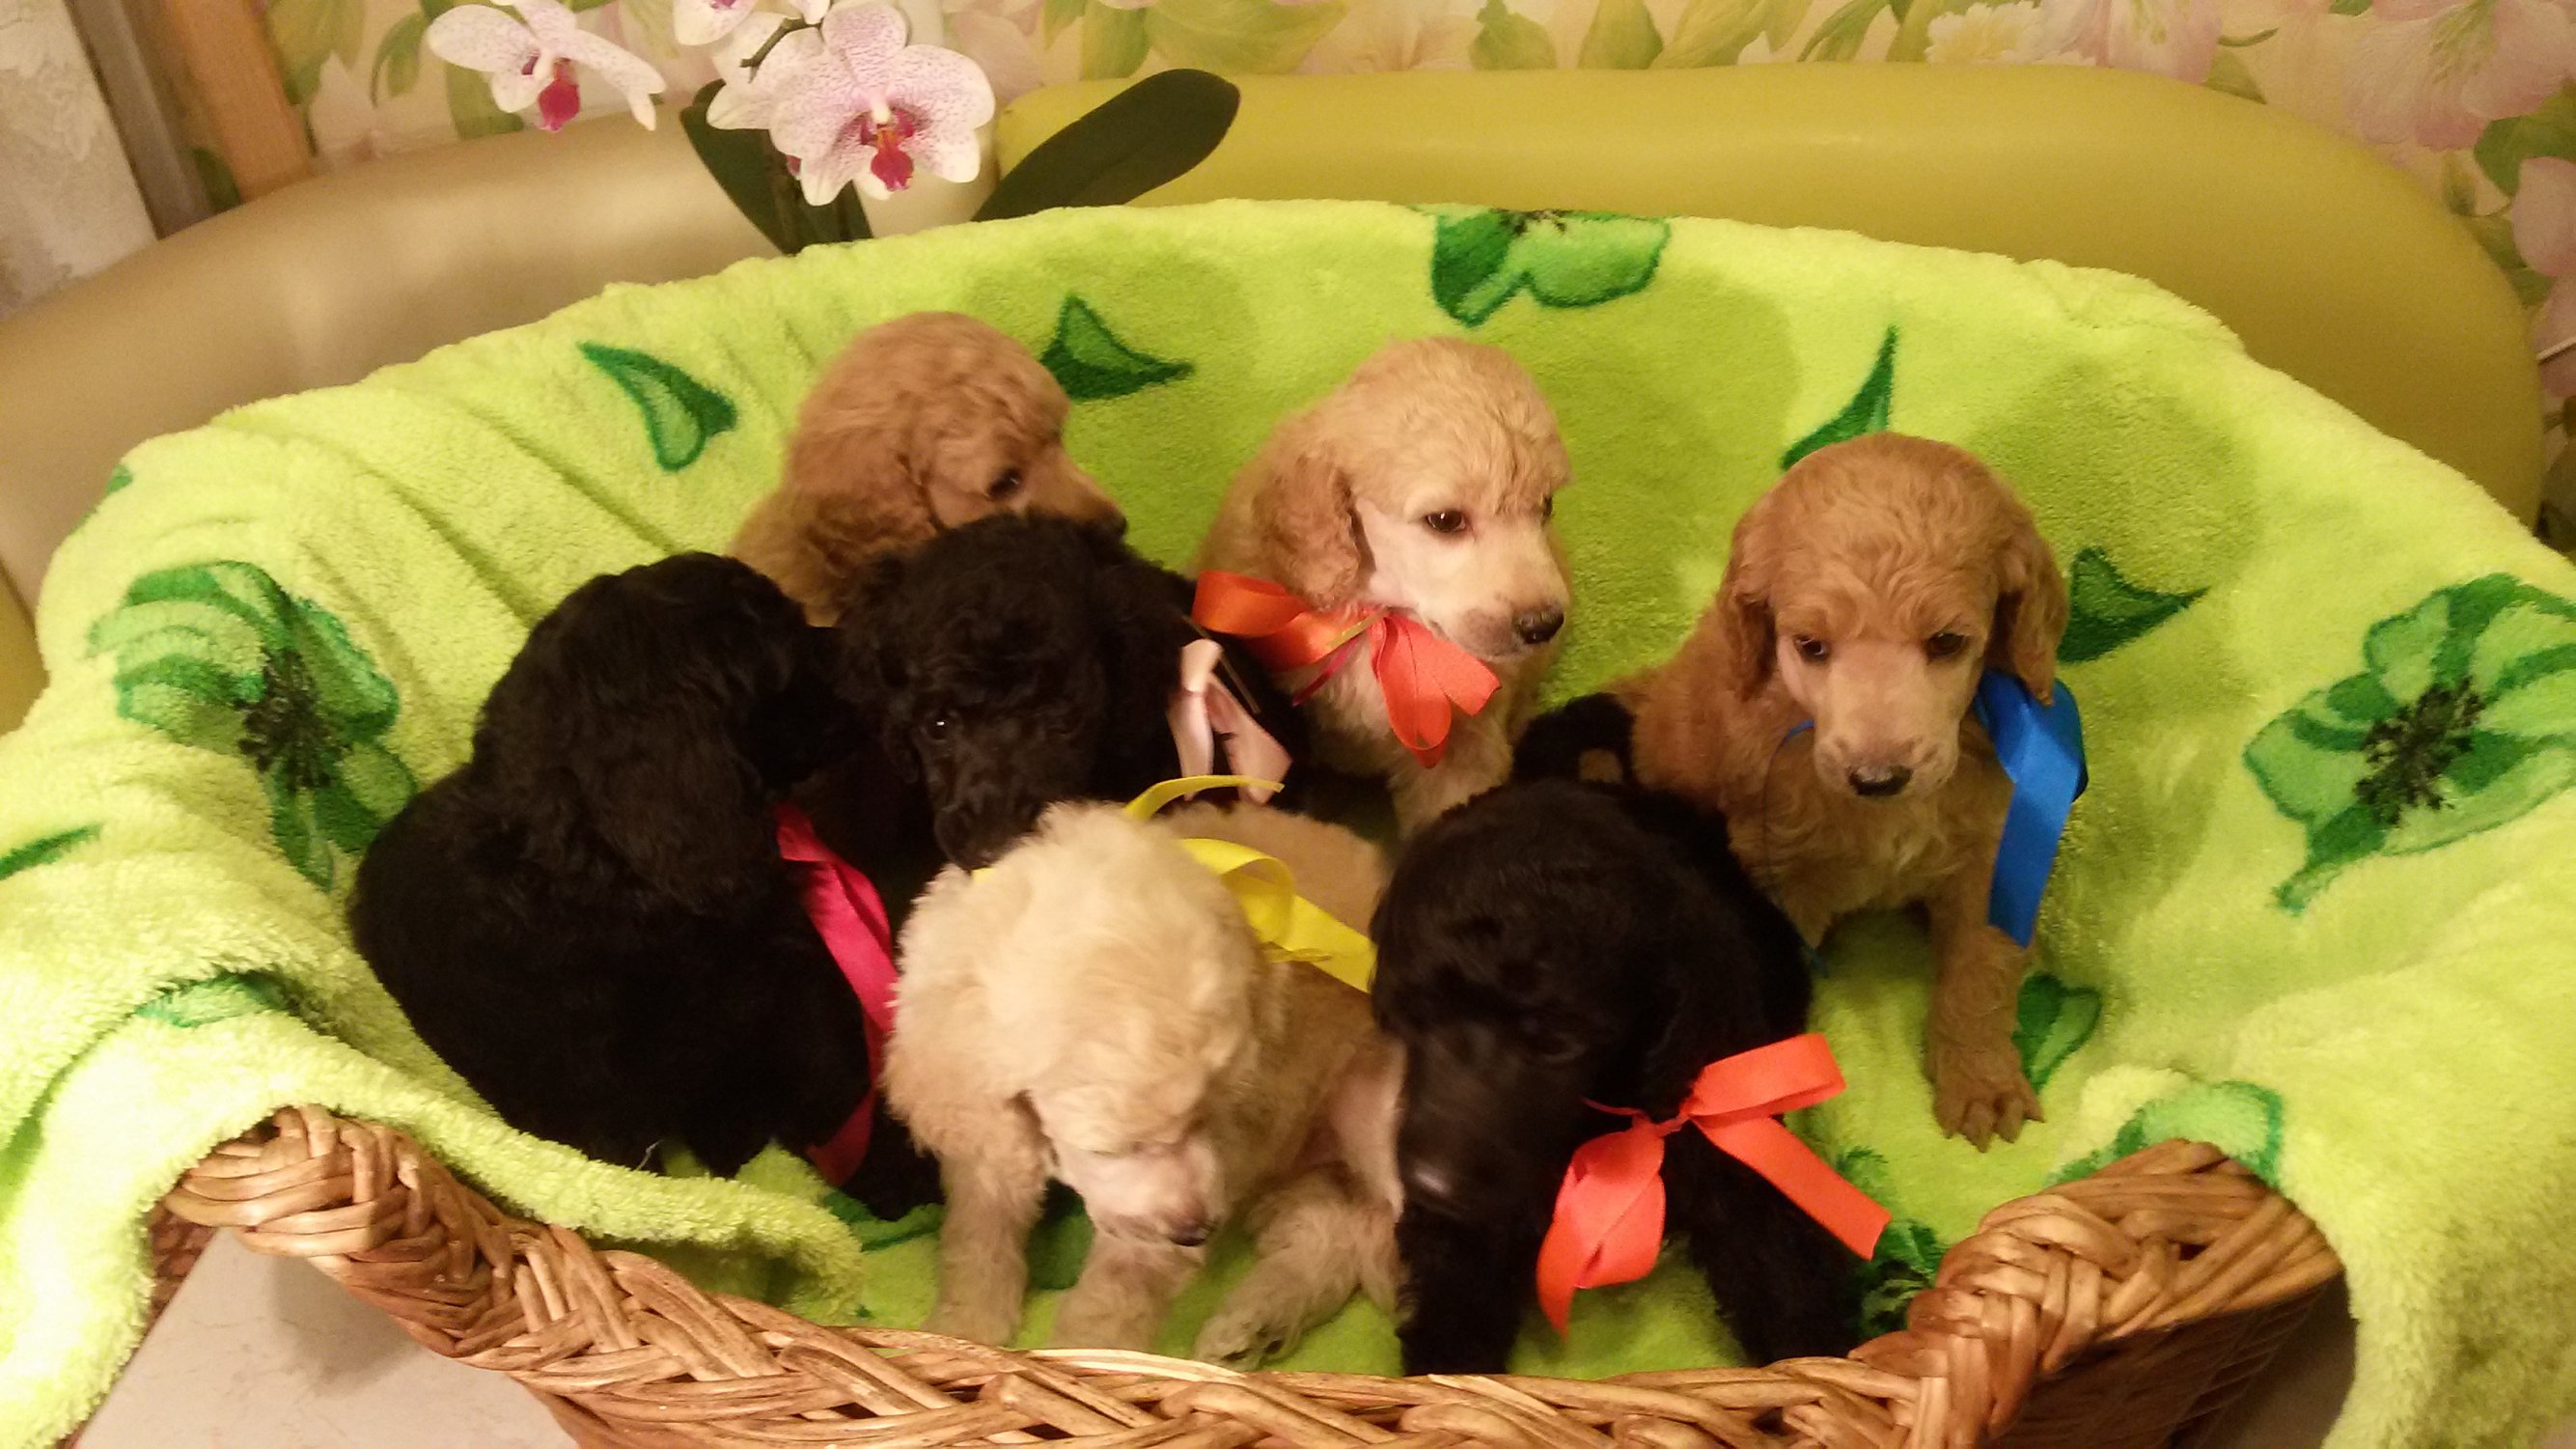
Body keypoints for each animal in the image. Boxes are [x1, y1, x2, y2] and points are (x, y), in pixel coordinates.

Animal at [887, 799, 1398, 1364]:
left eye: (1208, 1111)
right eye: (1108, 1149)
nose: (1197, 1231)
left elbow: (1117, 1288)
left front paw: (1089, 1358)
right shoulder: (983, 1136)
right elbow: (978, 1228)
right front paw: (962, 1330)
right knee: (1326, 1233)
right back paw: (1252, 1327)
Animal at [1370, 774, 1858, 1375]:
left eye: (1557, 1042)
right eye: (1415, 1011)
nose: (1433, 1182)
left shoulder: (1725, 1135)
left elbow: (1782, 1268)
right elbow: (1455, 1285)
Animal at [1629, 433, 2070, 1148]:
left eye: (1947, 642)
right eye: (1810, 645)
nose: (1877, 777)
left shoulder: (1991, 851)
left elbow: (1980, 970)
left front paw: (1980, 1082)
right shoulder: (1781, 869)